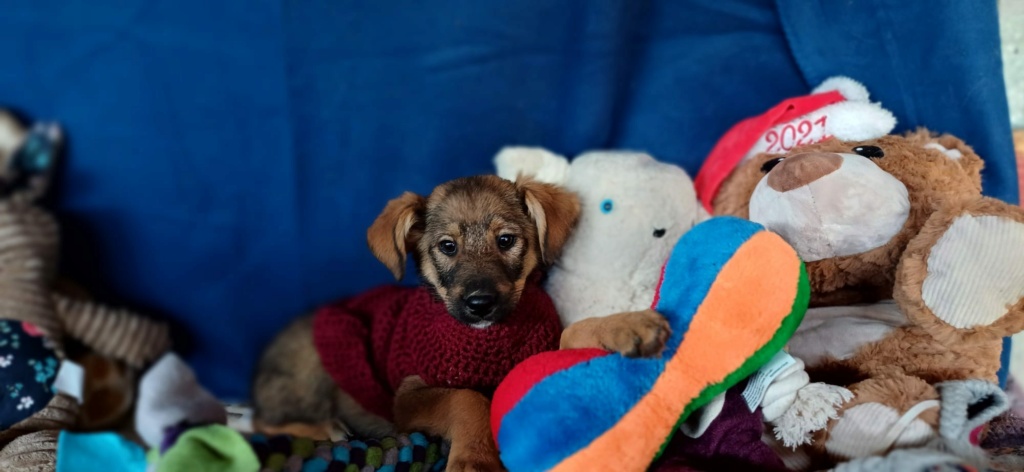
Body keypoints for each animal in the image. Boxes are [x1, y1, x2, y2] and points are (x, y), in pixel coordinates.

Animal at [250, 175, 581, 468]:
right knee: (261, 422)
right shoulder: (407, 396)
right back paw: (327, 429)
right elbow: (467, 398)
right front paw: (475, 460)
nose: (480, 305)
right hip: (314, 363)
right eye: (448, 246)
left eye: (506, 240)